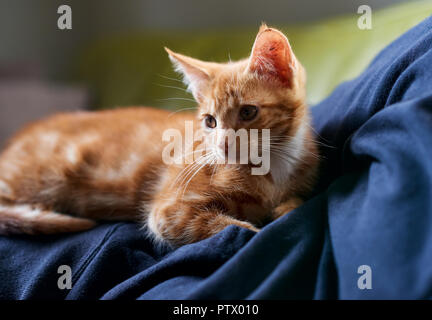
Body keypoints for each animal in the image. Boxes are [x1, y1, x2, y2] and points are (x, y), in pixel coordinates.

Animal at [0, 25, 318, 246]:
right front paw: (253, 227)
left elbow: (294, 203)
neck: (272, 167)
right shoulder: (168, 211)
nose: (222, 145)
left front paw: (284, 209)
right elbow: (231, 227)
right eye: (210, 121)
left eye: (248, 112)